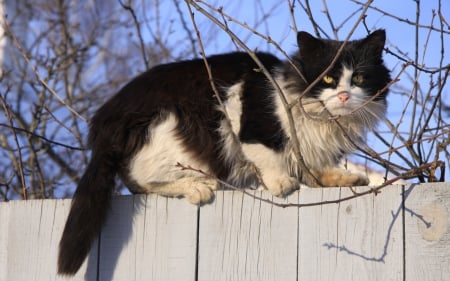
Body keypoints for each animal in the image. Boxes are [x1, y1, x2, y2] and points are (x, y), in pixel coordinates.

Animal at [59, 30, 390, 274]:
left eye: (358, 78)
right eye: (328, 79)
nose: (344, 95)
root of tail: (104, 121)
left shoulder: (311, 152)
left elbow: (314, 169)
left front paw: (341, 178)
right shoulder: (245, 111)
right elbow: (268, 154)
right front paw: (281, 182)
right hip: (172, 127)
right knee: (139, 180)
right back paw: (197, 186)